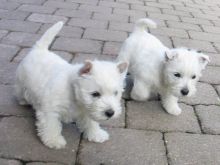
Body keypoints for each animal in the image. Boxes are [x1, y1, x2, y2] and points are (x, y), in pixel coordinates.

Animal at [15, 21, 127, 149]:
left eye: (116, 93)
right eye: (95, 94)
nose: (110, 113)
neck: (73, 93)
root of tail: (39, 49)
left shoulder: (87, 110)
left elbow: (91, 122)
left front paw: (96, 134)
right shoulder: (49, 111)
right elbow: (51, 126)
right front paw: (54, 141)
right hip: (21, 82)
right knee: (20, 92)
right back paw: (23, 101)